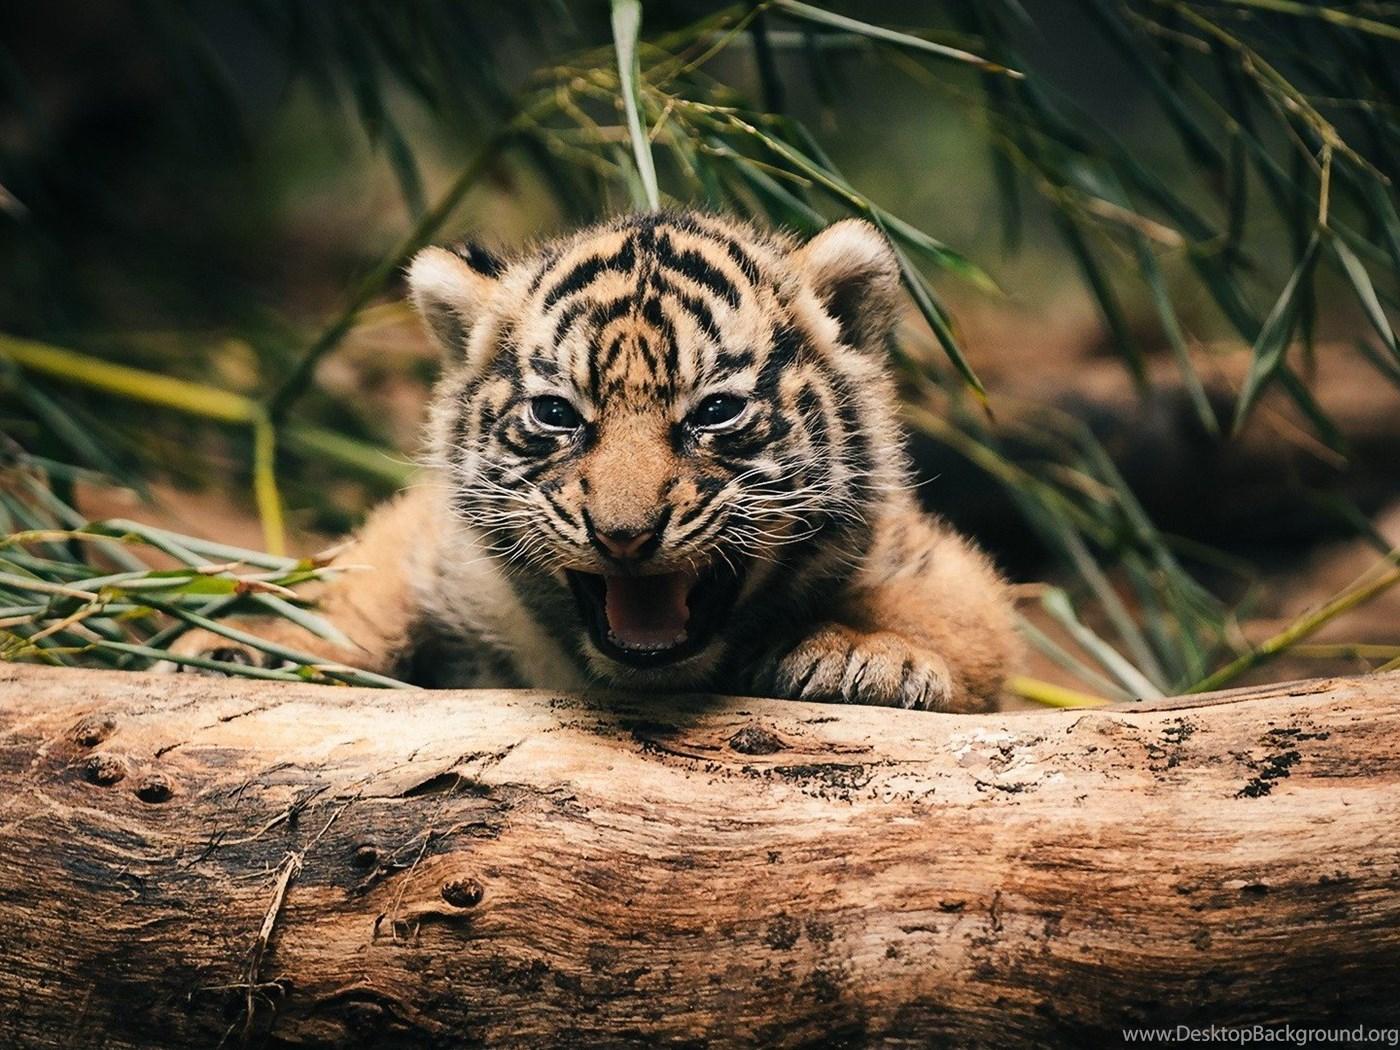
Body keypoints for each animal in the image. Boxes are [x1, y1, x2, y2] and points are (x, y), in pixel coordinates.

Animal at [173, 210, 1019, 712]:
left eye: (715, 411)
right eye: (557, 414)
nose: (623, 536)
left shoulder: (929, 557)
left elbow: (959, 612)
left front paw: (861, 655)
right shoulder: (431, 542)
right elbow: (362, 581)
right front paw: (247, 642)